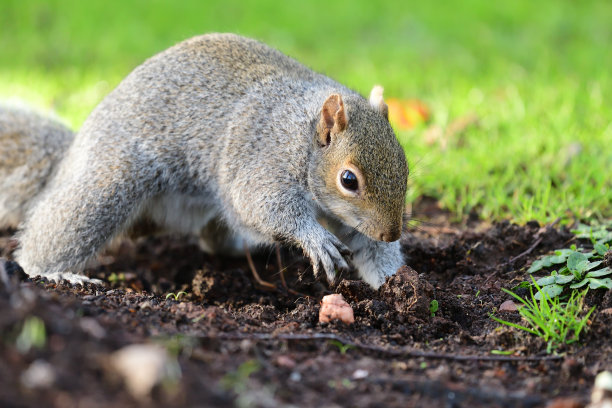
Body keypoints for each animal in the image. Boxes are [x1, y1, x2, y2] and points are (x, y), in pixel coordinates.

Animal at [3, 35, 412, 288]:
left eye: (406, 167)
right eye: (348, 180)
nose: (391, 233)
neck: (302, 136)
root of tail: (73, 153)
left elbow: (367, 246)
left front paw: (396, 282)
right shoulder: (263, 157)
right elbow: (262, 204)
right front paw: (315, 240)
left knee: (214, 237)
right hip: (113, 179)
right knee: (59, 228)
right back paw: (53, 274)